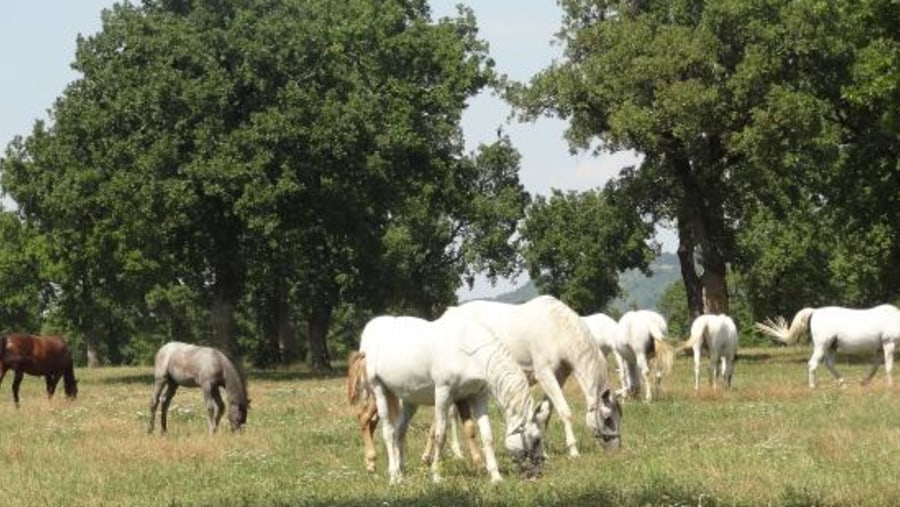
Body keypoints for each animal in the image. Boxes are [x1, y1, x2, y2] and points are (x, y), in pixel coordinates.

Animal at [344, 312, 540, 486]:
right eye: (536, 439)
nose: (537, 470)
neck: (467, 349)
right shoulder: (443, 393)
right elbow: (440, 434)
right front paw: (436, 476)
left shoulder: (478, 395)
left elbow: (487, 435)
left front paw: (495, 477)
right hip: (379, 391)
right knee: (388, 431)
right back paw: (393, 476)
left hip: (408, 400)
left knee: (399, 431)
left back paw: (400, 472)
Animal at [438, 296, 624, 458]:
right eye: (607, 418)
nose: (615, 449)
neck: (557, 329)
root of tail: (448, 314)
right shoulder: (544, 374)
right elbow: (565, 411)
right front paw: (573, 451)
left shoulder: (559, 376)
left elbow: (545, 414)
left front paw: (543, 451)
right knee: (451, 415)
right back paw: (458, 454)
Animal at [752, 306, 900, 388]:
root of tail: (815, 312)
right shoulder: (889, 344)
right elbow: (888, 366)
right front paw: (890, 386)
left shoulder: (880, 349)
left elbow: (875, 367)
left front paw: (864, 382)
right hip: (822, 346)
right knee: (813, 363)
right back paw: (813, 386)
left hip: (831, 347)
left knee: (829, 364)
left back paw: (842, 384)